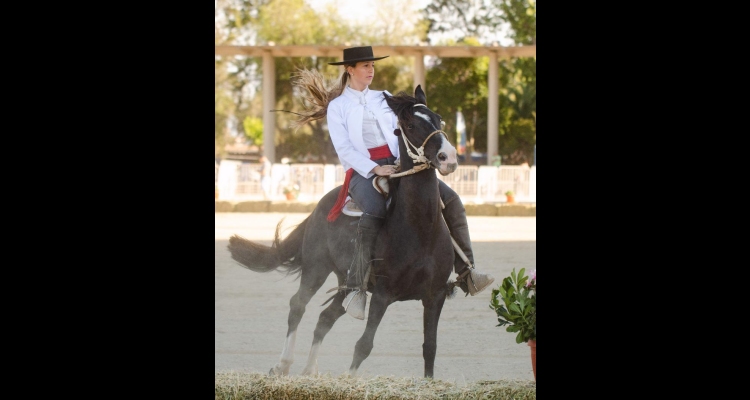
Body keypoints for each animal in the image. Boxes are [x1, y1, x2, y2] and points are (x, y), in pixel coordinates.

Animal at [229, 84, 462, 378]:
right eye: (410, 125)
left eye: (438, 119)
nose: (448, 157)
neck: (420, 230)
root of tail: (319, 208)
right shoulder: (382, 295)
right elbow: (363, 345)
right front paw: (349, 378)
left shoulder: (435, 296)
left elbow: (429, 347)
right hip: (316, 268)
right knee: (298, 305)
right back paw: (283, 364)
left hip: (345, 283)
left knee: (325, 318)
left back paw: (310, 370)